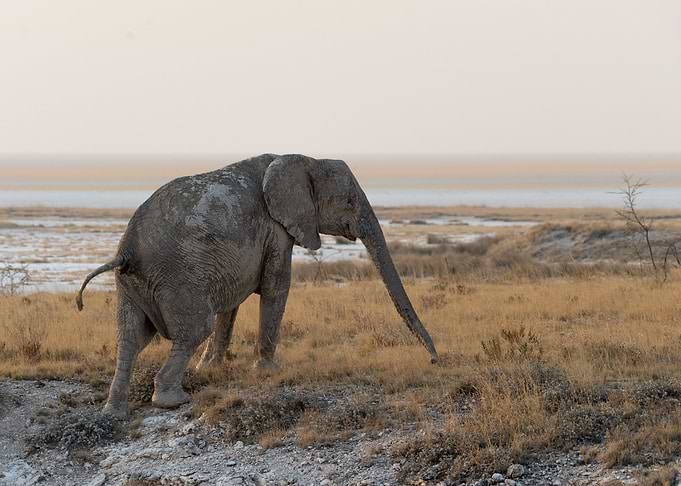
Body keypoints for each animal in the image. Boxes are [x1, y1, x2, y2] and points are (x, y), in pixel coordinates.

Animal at [76, 154, 439, 417]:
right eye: (349, 201)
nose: (435, 361)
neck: (304, 158)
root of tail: (126, 250)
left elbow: (231, 305)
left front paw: (212, 367)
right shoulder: (276, 230)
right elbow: (277, 288)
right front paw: (267, 369)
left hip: (134, 283)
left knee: (130, 339)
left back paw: (114, 413)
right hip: (176, 278)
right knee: (193, 329)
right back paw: (174, 400)